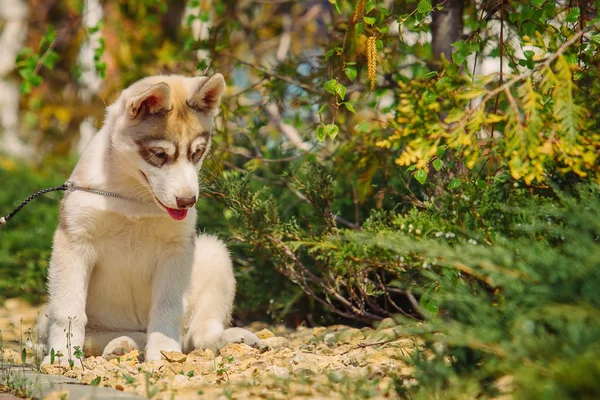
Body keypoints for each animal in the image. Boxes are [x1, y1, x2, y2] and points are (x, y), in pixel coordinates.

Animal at [39, 73, 260, 364]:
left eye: (197, 152)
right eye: (159, 155)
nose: (187, 201)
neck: (133, 198)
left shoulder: (176, 250)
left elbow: (168, 308)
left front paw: (164, 353)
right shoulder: (74, 241)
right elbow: (69, 311)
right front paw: (62, 357)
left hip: (215, 252)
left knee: (196, 336)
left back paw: (223, 339)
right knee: (96, 334)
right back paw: (122, 344)